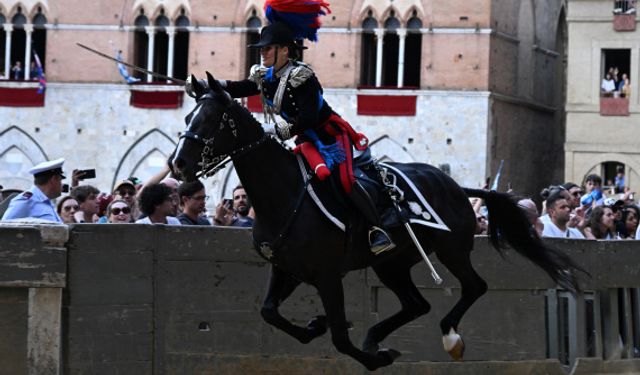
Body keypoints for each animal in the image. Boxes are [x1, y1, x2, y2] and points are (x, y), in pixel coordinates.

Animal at [171, 72, 584, 372]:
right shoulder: (286, 268)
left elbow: (339, 336)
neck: (284, 195)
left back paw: (448, 339)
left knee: (474, 287)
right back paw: (375, 336)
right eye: (189, 117)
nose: (179, 164)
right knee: (417, 304)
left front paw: (372, 356)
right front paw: (316, 326)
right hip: (393, 264)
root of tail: (456, 186)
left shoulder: (327, 275)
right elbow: (269, 311)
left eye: (211, 119)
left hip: (451, 250)